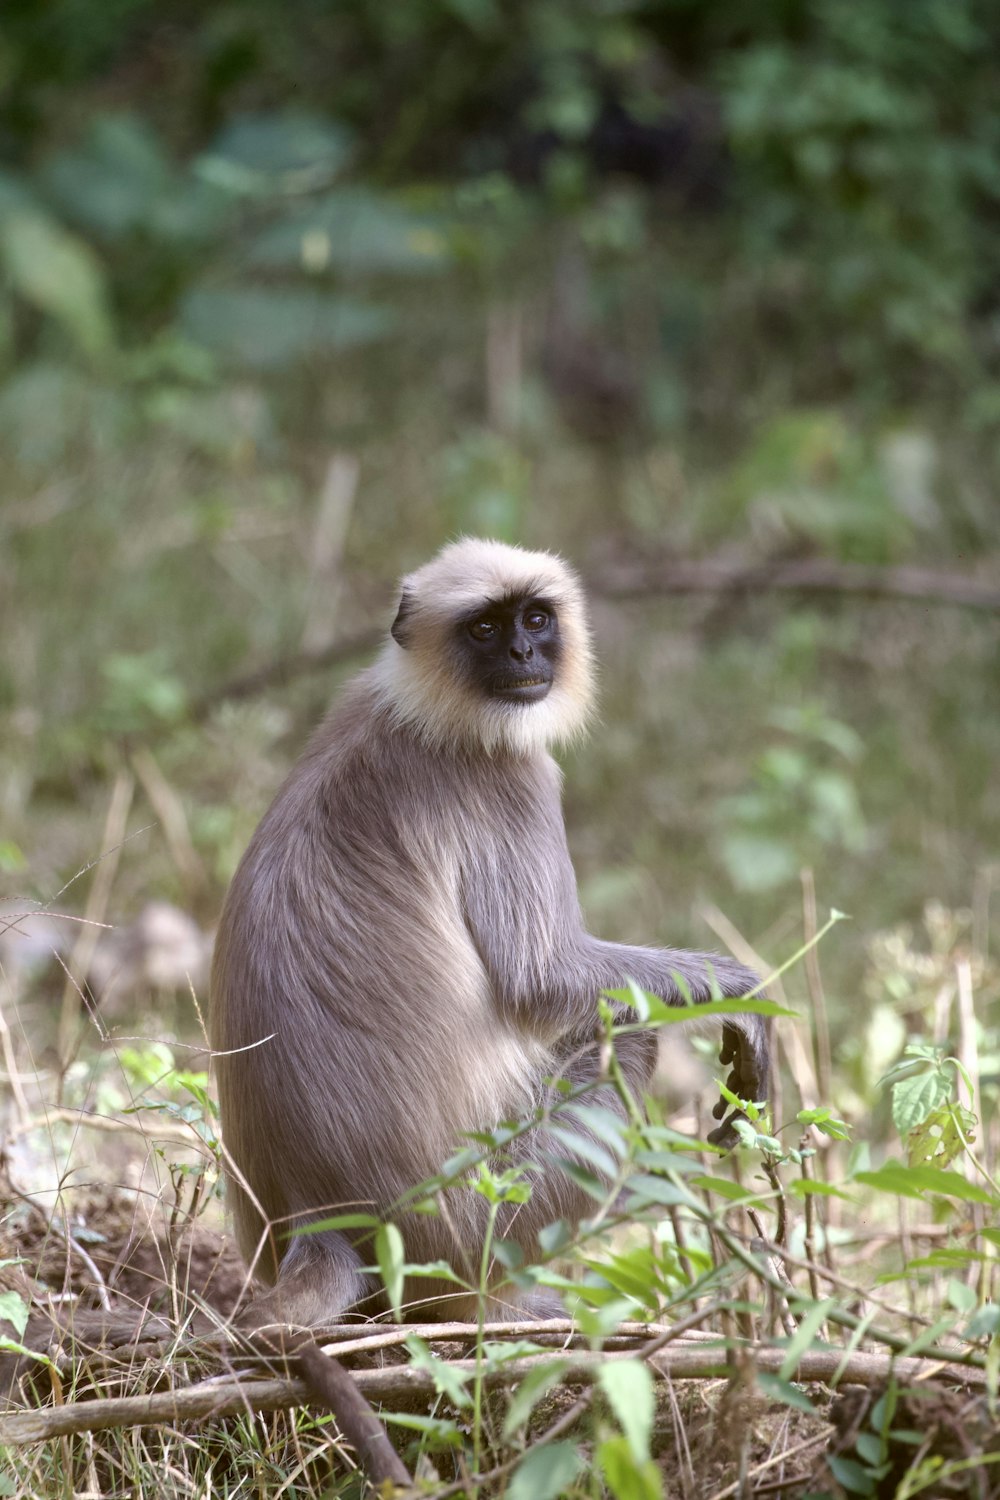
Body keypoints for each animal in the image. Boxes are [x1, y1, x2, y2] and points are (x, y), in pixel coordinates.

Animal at [211, 537, 773, 1326]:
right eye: (484, 629)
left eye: (535, 619)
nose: (521, 653)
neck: (424, 711)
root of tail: (321, 1218)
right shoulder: (511, 780)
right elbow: (541, 978)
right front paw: (745, 997)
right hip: (486, 1217)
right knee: (628, 1042)